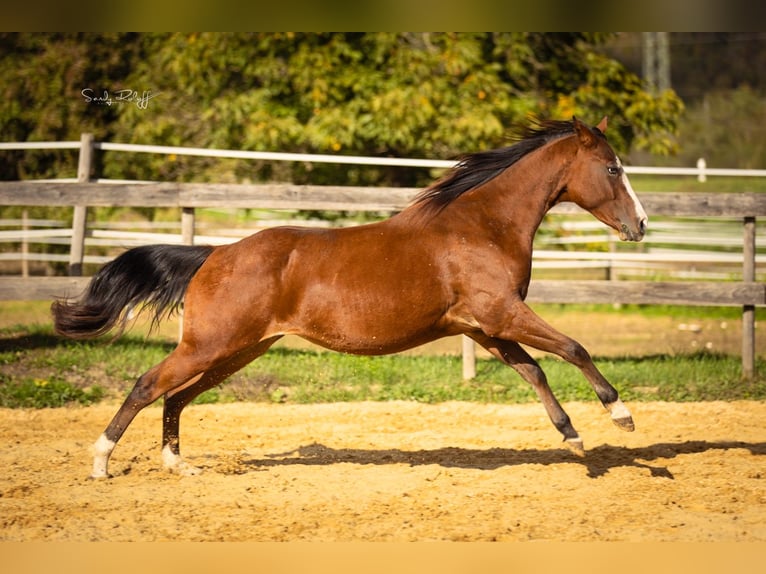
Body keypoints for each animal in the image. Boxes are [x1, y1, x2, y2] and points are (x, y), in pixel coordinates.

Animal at [52, 117, 648, 478]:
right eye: (612, 167)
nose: (641, 224)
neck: (481, 227)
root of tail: (214, 253)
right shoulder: (501, 314)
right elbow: (572, 348)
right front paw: (620, 416)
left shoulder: (484, 327)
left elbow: (535, 371)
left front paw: (573, 439)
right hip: (209, 345)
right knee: (147, 385)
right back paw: (101, 463)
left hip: (239, 350)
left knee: (175, 397)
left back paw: (179, 466)